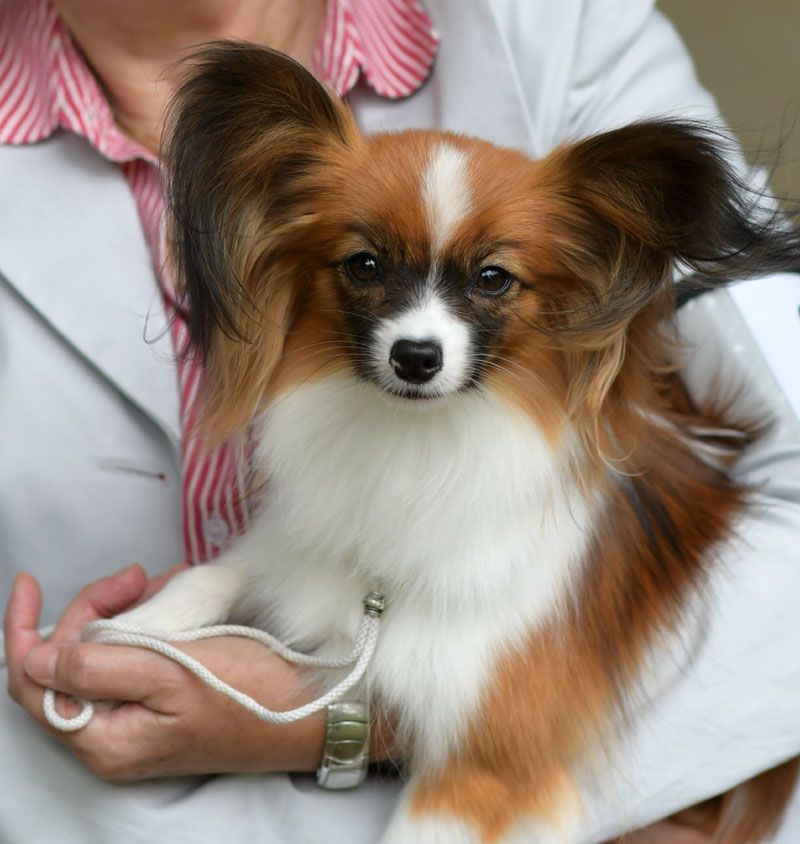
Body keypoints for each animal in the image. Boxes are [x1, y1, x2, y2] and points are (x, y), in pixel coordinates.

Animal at [119, 44, 800, 844]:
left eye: (493, 279)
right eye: (365, 265)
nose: (417, 357)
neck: (417, 441)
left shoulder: (484, 766)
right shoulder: (296, 554)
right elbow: (220, 572)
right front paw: (127, 626)